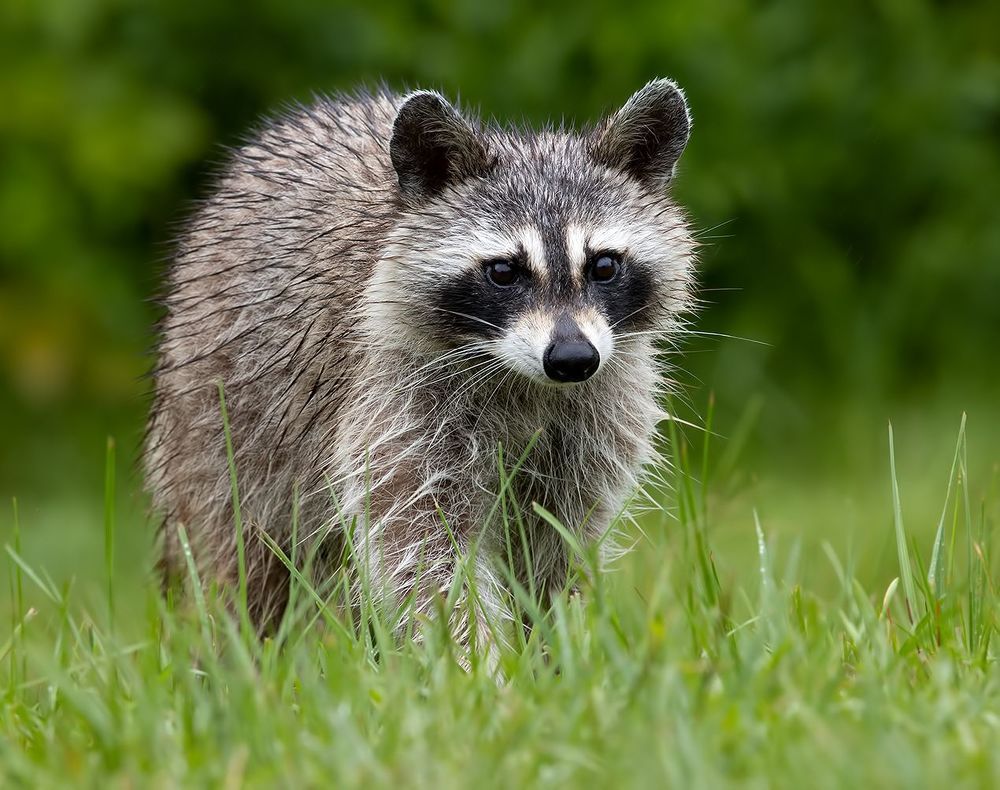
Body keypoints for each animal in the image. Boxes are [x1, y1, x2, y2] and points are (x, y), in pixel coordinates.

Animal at [145, 79, 696, 651]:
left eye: (604, 265)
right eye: (504, 271)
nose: (572, 360)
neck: (522, 379)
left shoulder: (598, 416)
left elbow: (554, 545)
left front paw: (552, 648)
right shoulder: (395, 400)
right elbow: (422, 545)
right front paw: (472, 663)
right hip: (220, 425)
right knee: (246, 559)